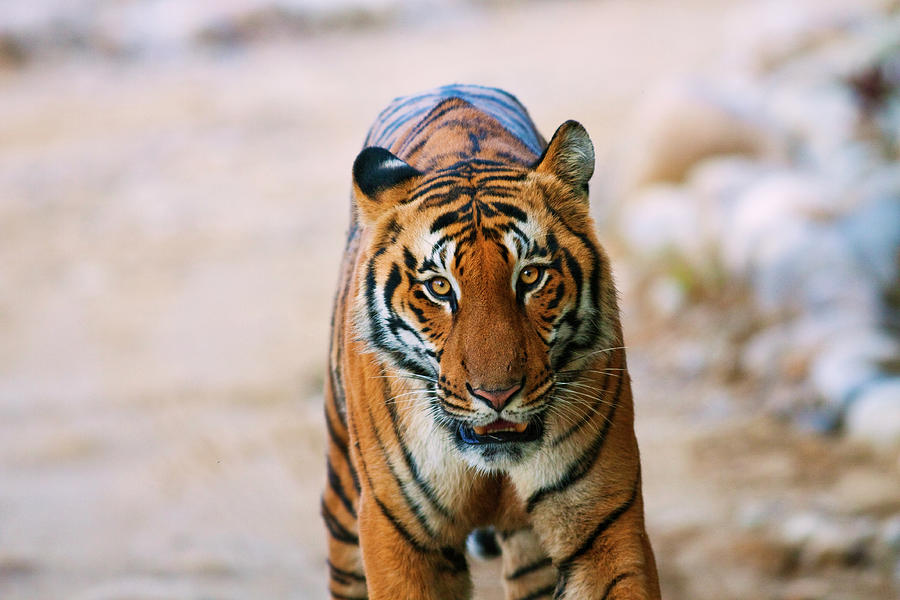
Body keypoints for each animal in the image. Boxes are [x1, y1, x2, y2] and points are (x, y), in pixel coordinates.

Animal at [324, 85, 660, 600]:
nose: (496, 395)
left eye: (531, 276)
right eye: (439, 287)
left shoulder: (604, 518)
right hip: (345, 507)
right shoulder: (400, 534)